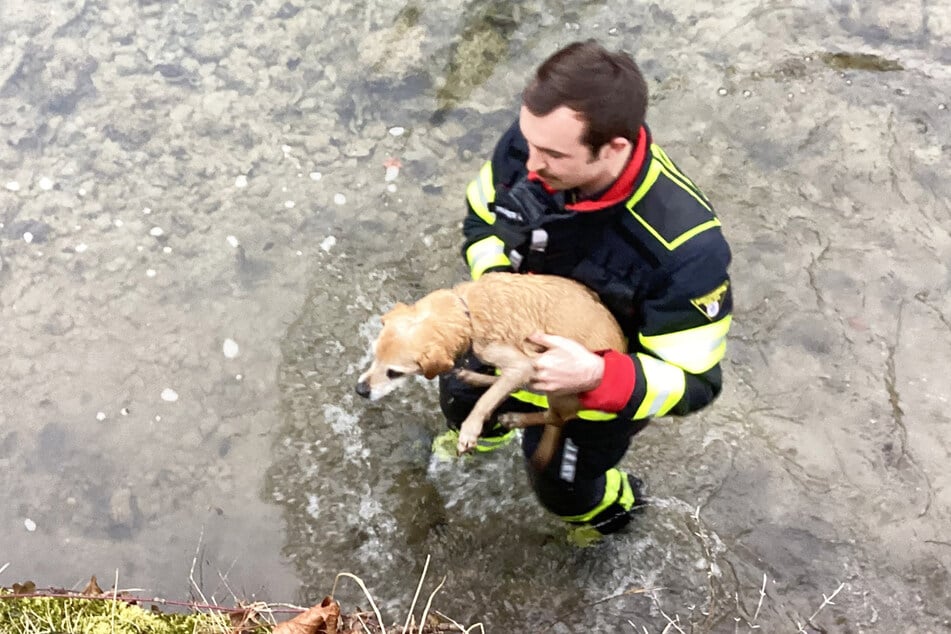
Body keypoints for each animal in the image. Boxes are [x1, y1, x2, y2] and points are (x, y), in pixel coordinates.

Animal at [354, 272, 628, 464]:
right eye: (374, 355)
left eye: (395, 373)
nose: (360, 391)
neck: (467, 313)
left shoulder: (522, 365)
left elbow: (484, 401)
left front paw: (469, 431)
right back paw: (474, 377)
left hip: (559, 384)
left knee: (555, 417)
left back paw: (516, 417)